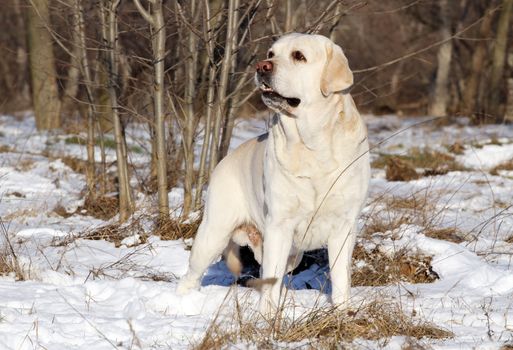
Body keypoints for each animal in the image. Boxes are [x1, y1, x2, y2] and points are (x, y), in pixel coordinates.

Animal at [176, 34, 368, 316]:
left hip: (290, 253)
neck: (312, 144)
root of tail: (224, 160)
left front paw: (343, 313)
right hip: (214, 233)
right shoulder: (280, 225)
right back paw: (181, 302)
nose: (261, 66)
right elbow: (272, 278)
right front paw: (267, 317)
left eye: (299, 56)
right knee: (191, 275)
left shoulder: (344, 226)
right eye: (271, 53)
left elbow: (341, 277)